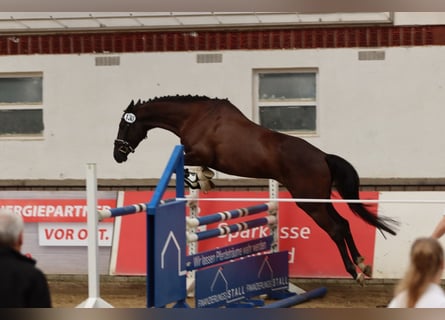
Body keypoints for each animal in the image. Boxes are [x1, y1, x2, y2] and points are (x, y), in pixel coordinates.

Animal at [112, 94, 398, 284]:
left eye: (125, 125)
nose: (118, 155)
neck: (195, 117)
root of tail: (323, 157)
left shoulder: (198, 152)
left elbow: (182, 164)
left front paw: (197, 179)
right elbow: (199, 169)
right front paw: (204, 179)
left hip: (309, 202)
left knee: (336, 229)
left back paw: (354, 271)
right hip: (318, 200)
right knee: (344, 224)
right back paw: (363, 264)